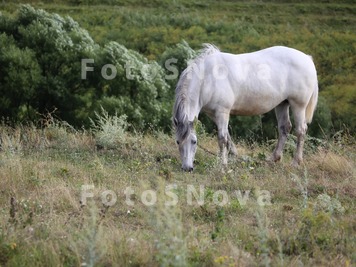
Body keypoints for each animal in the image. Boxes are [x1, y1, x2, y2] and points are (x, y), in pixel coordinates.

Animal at [172, 44, 318, 172]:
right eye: (178, 142)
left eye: (194, 142)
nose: (187, 168)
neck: (208, 78)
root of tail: (307, 59)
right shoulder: (214, 114)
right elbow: (228, 136)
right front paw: (233, 156)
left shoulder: (222, 112)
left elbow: (222, 138)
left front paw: (222, 165)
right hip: (282, 104)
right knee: (284, 128)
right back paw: (273, 158)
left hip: (298, 105)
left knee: (301, 130)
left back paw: (296, 162)